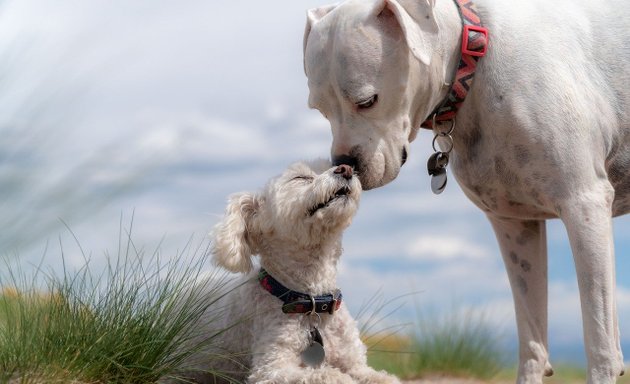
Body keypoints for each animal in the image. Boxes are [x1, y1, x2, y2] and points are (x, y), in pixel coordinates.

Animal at [173, 159, 400, 384]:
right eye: (301, 177)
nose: (346, 169)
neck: (312, 303)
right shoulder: (271, 368)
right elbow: (327, 374)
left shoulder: (356, 365)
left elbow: (383, 378)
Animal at [304, 0, 630, 384]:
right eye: (320, 109)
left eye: (367, 101)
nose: (344, 164)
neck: (473, 62)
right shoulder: (514, 226)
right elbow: (532, 341)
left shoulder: (584, 207)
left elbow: (600, 341)